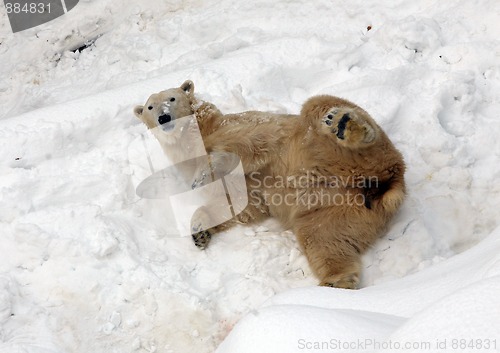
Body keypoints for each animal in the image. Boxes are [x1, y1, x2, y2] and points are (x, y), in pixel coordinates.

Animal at [134, 80, 406, 288]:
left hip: (334, 148)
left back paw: (343, 123)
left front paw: (203, 173)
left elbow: (245, 146)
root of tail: (386, 182)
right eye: (150, 106)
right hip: (337, 211)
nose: (163, 117)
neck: (197, 132)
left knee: (320, 105)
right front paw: (199, 232)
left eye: (172, 98)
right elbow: (236, 203)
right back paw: (334, 283)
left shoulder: (241, 128)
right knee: (323, 239)